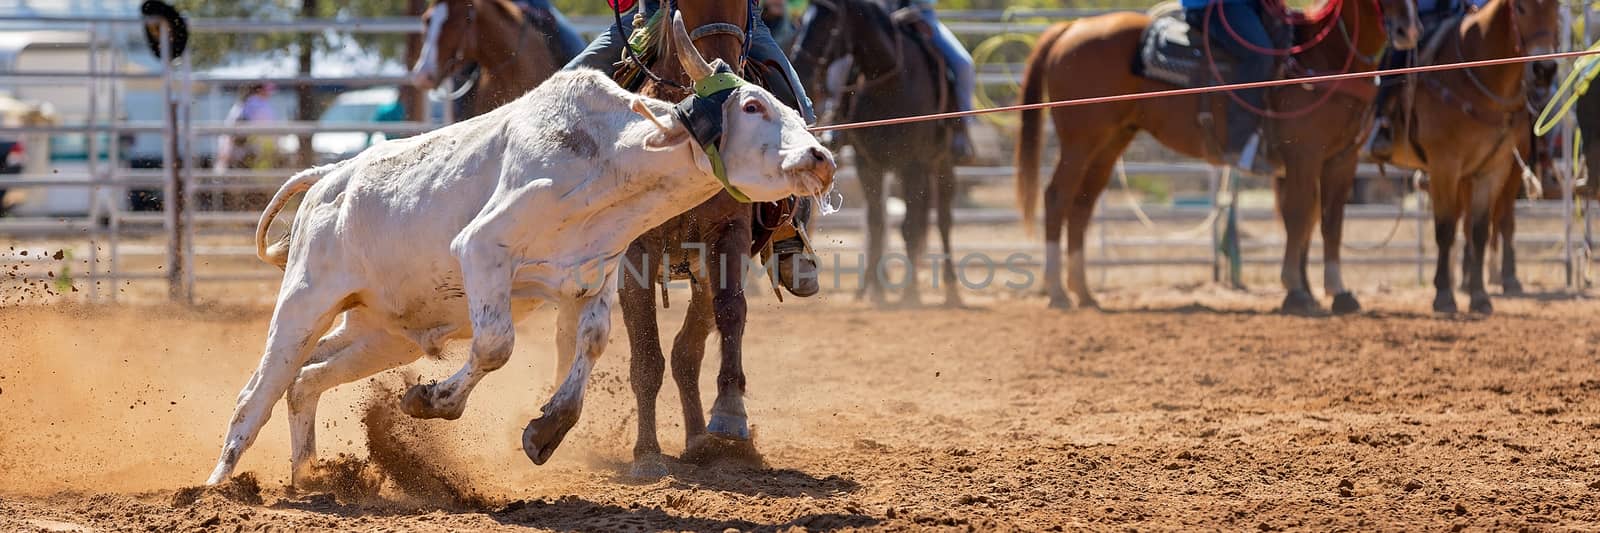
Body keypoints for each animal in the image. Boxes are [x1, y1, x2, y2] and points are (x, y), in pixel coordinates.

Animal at [1017, 0, 1420, 313]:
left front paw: (1337, 293)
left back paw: (1084, 292)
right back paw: (1058, 292)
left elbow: (1328, 223)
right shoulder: (1303, 156)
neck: (1325, 58)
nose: (1408, 29)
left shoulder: (1341, 160)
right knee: (1057, 198)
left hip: (1111, 141)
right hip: (1080, 141)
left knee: (1082, 206)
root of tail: (1070, 28)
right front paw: (1296, 291)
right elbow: (1299, 217)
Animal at [1382, 0, 1555, 315]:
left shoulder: (1495, 167)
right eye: (1520, 8)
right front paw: (1444, 295)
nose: (1544, 69)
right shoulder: (1445, 166)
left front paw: (1480, 295)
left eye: (1556, 8)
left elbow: (1480, 229)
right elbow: (1446, 227)